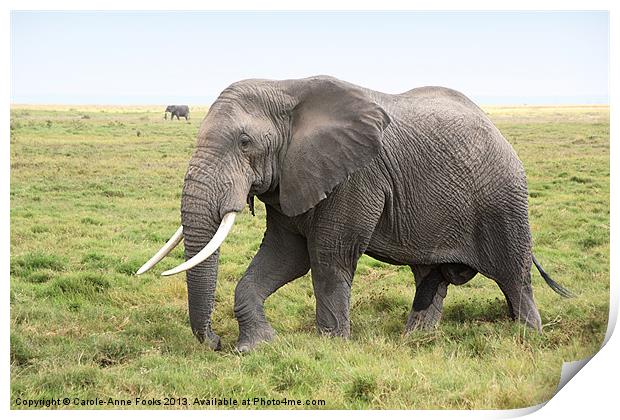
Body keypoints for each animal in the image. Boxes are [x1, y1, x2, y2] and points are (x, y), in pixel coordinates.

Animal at [137, 74, 572, 352]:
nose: (215, 342)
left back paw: (527, 339)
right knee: (430, 277)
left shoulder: (356, 175)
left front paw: (329, 348)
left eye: (245, 142)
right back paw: (414, 341)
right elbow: (285, 256)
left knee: (515, 277)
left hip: (504, 200)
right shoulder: (291, 177)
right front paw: (255, 347)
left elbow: (328, 257)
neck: (285, 88)